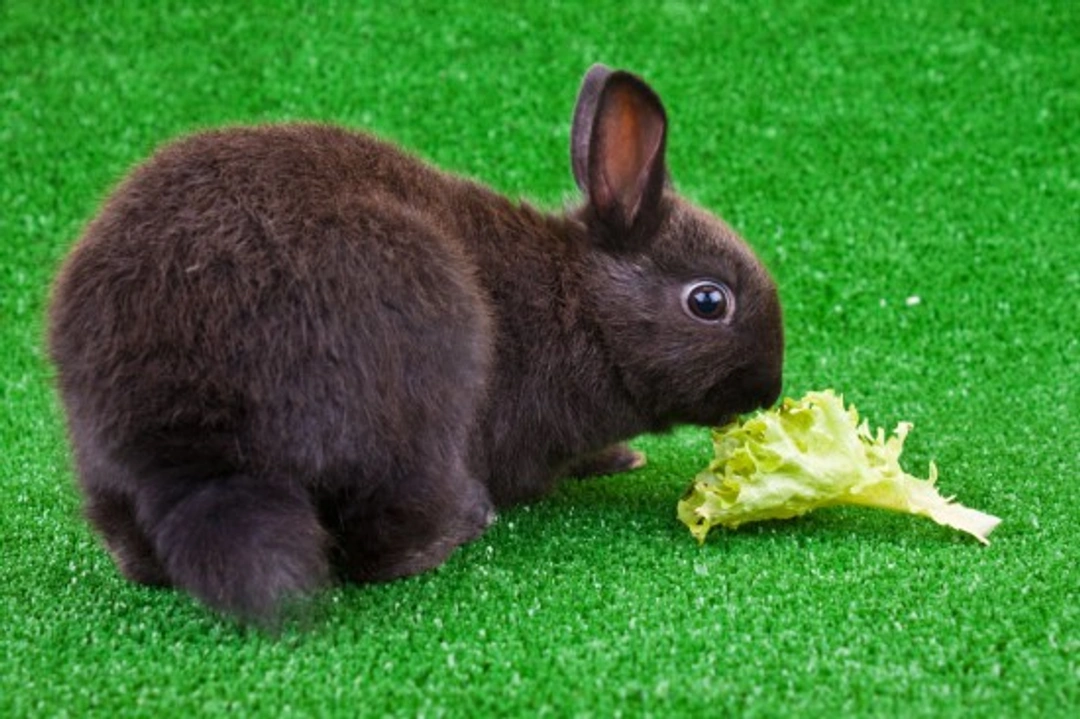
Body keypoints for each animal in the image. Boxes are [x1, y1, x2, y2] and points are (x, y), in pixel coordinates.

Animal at [47, 64, 783, 623]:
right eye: (709, 301)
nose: (768, 389)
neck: (581, 304)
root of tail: (192, 446)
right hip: (413, 402)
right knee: (383, 544)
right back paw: (464, 524)